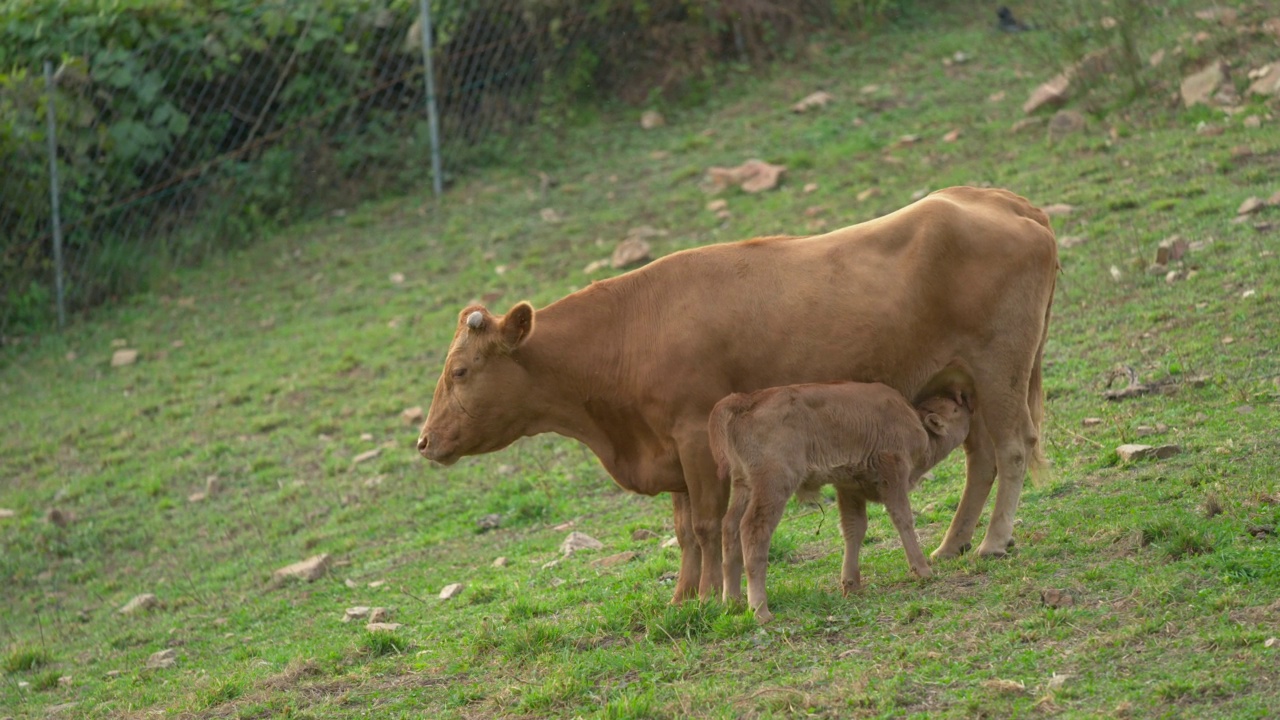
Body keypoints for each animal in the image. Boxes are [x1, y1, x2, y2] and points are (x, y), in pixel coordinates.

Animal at [711, 379, 967, 620]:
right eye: (954, 410)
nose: (967, 404)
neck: (915, 422)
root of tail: (743, 401)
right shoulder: (893, 473)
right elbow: (902, 518)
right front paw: (923, 570)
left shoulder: (849, 487)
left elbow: (854, 528)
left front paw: (851, 585)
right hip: (773, 486)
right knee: (753, 529)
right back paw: (760, 611)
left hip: (744, 485)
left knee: (730, 527)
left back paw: (732, 603)